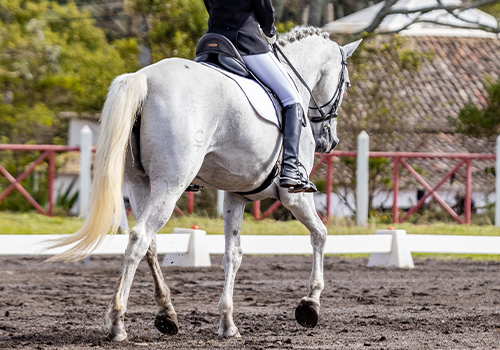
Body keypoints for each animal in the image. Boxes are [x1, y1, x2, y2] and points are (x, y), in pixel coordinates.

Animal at [49, 26, 360, 340]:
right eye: (346, 82)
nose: (329, 141)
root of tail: (144, 78)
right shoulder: (293, 196)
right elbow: (320, 234)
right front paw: (310, 305)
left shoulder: (236, 197)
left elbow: (233, 255)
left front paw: (227, 322)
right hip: (170, 185)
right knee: (139, 237)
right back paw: (117, 322)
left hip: (139, 185)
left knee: (149, 243)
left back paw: (167, 314)